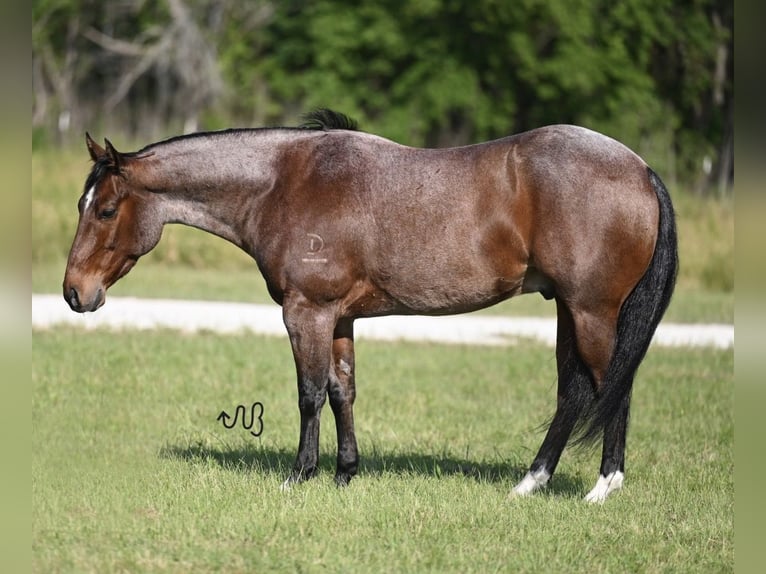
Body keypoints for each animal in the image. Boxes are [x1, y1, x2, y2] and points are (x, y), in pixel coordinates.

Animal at [63, 109, 677, 502]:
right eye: (81, 204)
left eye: (106, 209)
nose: (74, 292)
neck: (284, 182)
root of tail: (641, 168)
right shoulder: (340, 318)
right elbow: (342, 392)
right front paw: (345, 474)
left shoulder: (306, 313)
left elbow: (310, 393)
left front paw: (299, 476)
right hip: (568, 312)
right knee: (574, 393)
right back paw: (531, 483)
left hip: (592, 312)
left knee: (611, 387)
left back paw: (601, 488)